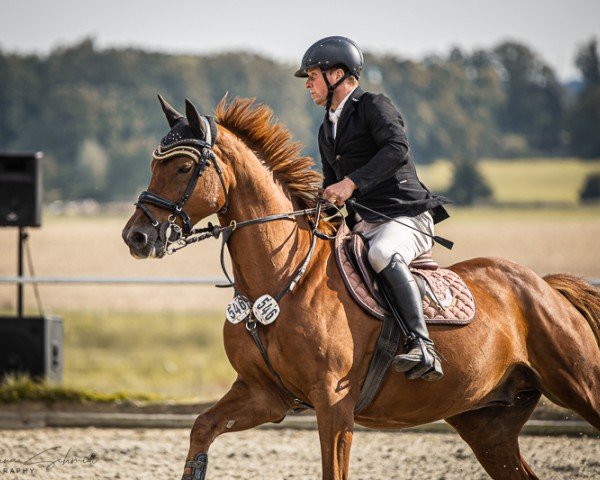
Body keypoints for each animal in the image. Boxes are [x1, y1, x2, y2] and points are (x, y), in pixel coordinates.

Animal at [123, 97, 600, 480]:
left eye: (184, 167)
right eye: (153, 165)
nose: (136, 237)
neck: (282, 280)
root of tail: (545, 286)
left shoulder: (334, 405)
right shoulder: (264, 396)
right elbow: (202, 428)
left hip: (580, 386)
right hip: (487, 422)